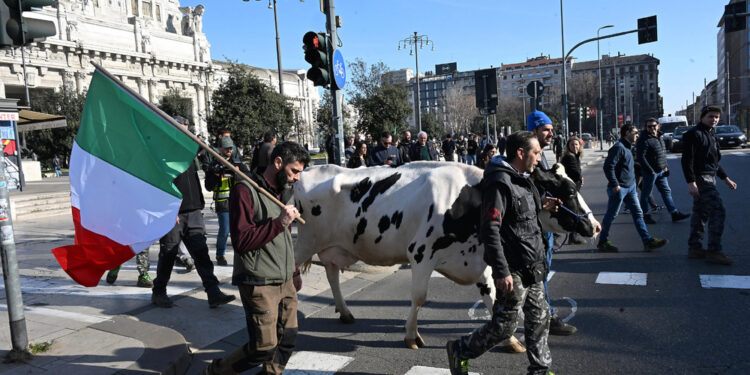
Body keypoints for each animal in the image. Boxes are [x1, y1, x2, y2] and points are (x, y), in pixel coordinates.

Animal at [294, 163, 600, 352]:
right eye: (569, 191)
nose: (595, 226)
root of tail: (309, 170)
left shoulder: (480, 262)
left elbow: (492, 299)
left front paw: (511, 340)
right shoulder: (420, 253)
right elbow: (419, 297)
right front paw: (410, 335)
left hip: (332, 247)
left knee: (331, 272)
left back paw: (345, 312)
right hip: (303, 243)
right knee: (293, 277)